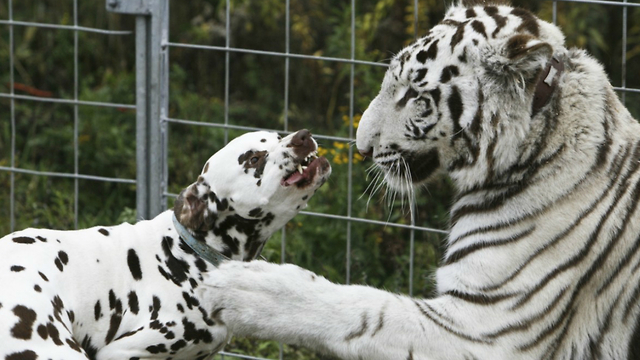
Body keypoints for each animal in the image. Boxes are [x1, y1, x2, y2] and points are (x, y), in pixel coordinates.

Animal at [202, 1, 640, 358]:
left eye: (414, 95)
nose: (361, 147)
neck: (535, 142)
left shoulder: (492, 328)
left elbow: (363, 309)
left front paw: (240, 286)